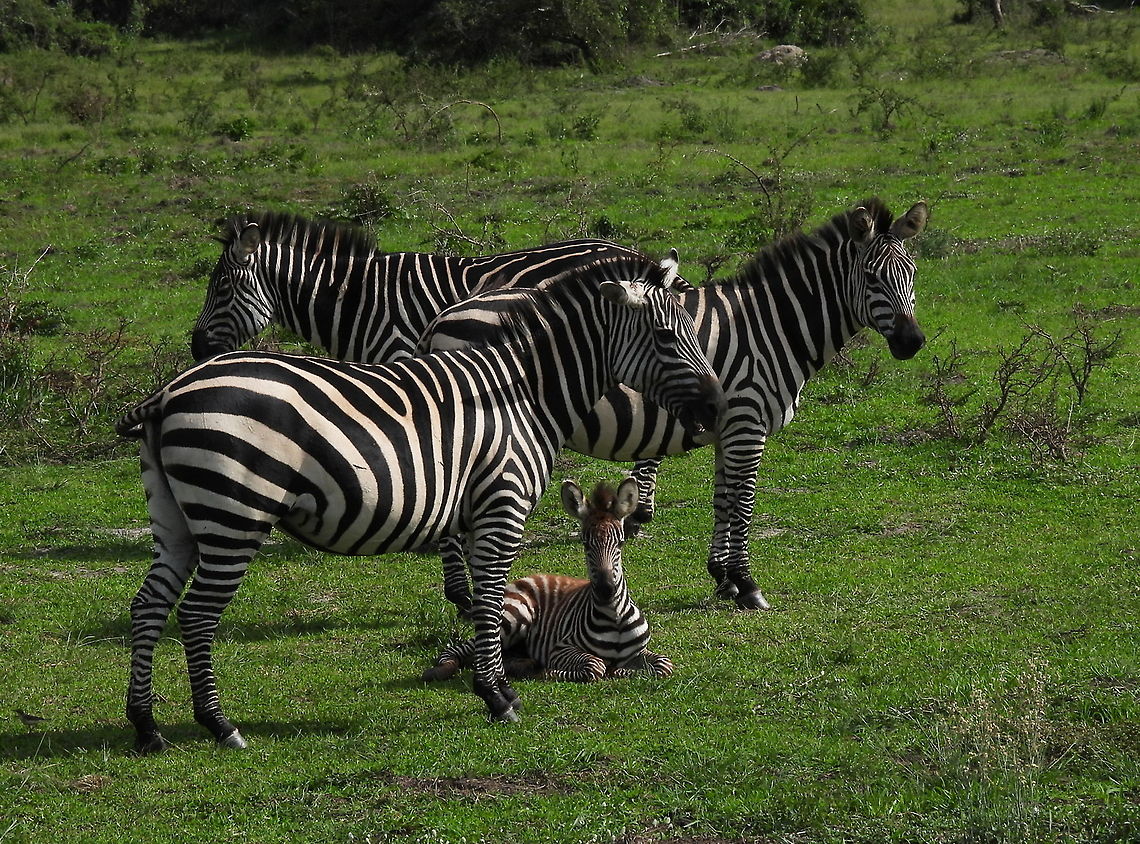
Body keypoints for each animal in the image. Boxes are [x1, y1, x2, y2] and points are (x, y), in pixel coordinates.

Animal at [423, 478, 673, 685]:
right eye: (585, 543)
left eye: (620, 543)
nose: (605, 590)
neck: (615, 616)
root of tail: (525, 578)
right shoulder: (560, 649)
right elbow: (596, 666)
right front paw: (548, 671)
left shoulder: (641, 652)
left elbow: (664, 664)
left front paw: (624, 670)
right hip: (513, 618)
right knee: (459, 649)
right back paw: (440, 670)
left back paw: (522, 665)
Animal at [425, 198, 929, 612]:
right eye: (871, 278)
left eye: (913, 273)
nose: (912, 342)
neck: (772, 328)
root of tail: (442, 317)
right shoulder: (746, 423)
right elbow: (743, 502)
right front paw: (747, 586)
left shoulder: (730, 427)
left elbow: (724, 500)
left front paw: (723, 578)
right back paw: (465, 598)